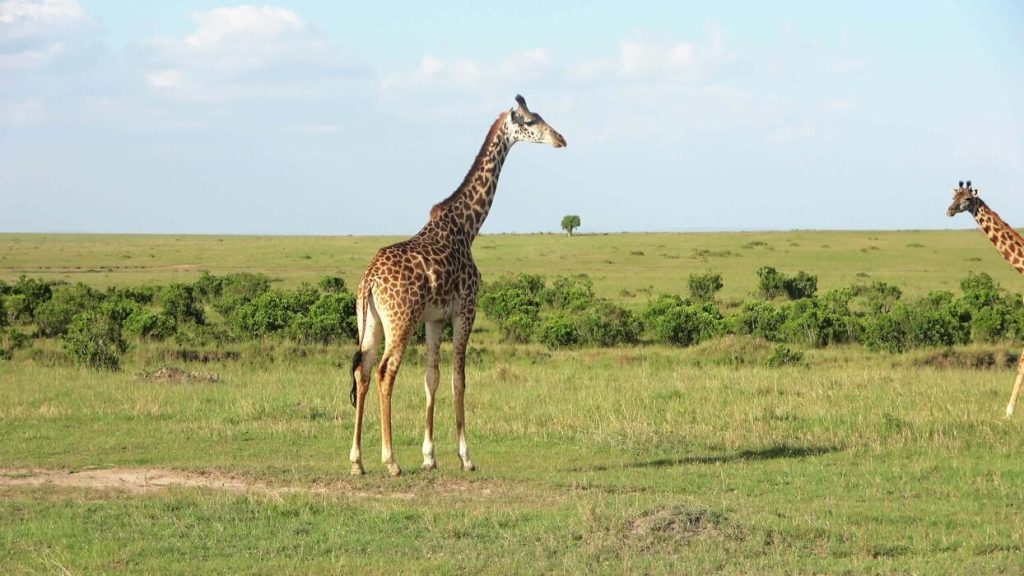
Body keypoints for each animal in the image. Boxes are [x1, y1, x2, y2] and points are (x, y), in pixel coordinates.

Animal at [348, 95, 566, 476]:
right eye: (530, 121)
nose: (560, 139)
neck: (468, 226)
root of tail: (370, 279)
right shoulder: (466, 310)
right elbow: (458, 379)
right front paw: (466, 456)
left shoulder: (435, 319)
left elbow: (431, 378)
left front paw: (429, 457)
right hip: (400, 321)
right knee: (386, 372)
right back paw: (390, 461)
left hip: (370, 321)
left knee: (363, 370)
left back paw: (357, 461)